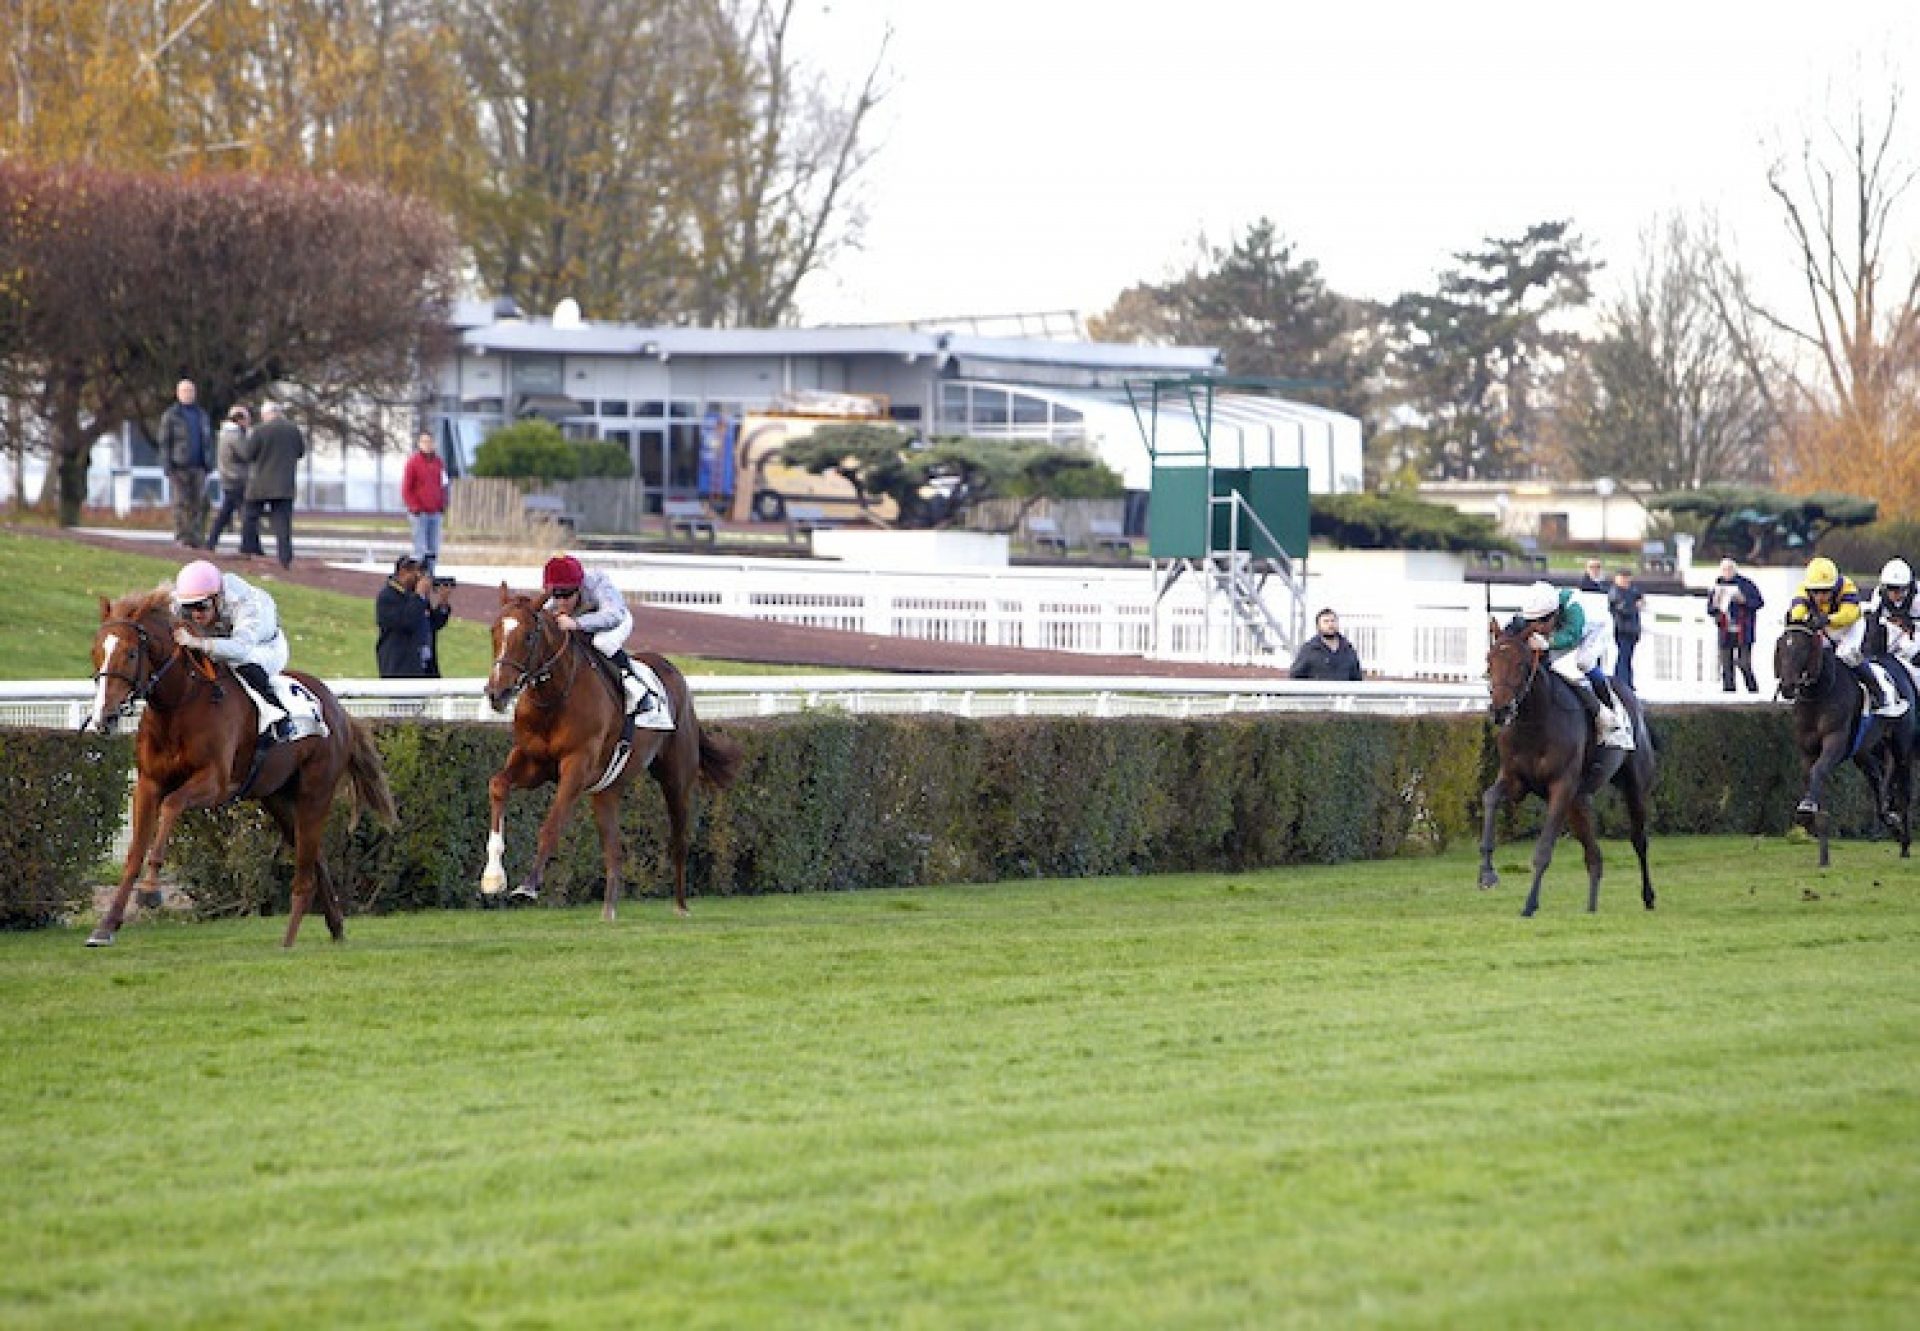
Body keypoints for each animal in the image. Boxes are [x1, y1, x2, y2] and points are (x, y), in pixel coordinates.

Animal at [86, 587, 393, 944]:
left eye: (132, 654)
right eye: (96, 651)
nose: (103, 717)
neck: (182, 702)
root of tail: (340, 711)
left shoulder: (215, 783)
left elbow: (172, 804)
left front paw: (150, 889)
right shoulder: (149, 783)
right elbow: (134, 853)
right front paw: (106, 926)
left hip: (315, 791)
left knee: (306, 868)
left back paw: (289, 941)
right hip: (276, 797)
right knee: (313, 855)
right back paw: (336, 927)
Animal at [480, 587, 741, 918]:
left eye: (528, 636)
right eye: (494, 631)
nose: (496, 693)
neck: (555, 697)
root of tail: (674, 672)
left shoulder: (577, 766)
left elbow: (551, 825)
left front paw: (528, 886)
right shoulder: (533, 761)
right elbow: (498, 785)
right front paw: (493, 877)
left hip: (677, 779)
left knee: (679, 838)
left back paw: (681, 907)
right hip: (607, 790)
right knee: (614, 850)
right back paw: (609, 911)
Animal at [1474, 614, 1658, 914]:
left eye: (1521, 664)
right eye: (1489, 661)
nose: (1500, 711)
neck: (1535, 724)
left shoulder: (1561, 787)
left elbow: (1544, 849)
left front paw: (1530, 903)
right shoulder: (1516, 780)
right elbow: (1490, 797)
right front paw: (1487, 873)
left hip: (1634, 786)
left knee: (1639, 839)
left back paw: (1648, 896)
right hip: (1579, 800)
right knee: (1594, 855)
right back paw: (1591, 908)